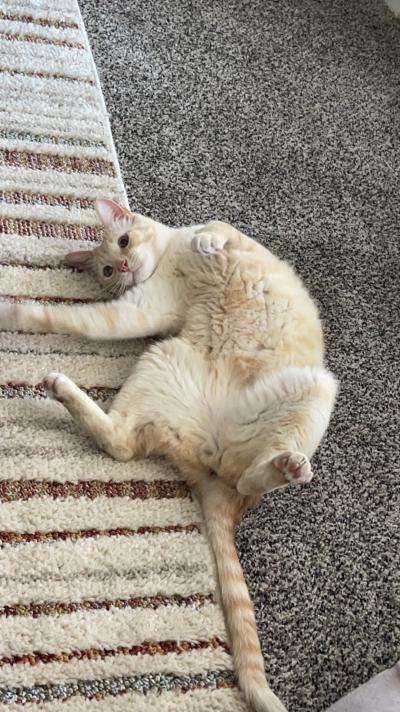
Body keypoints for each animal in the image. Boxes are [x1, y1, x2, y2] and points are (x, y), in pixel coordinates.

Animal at [0, 199, 338, 712]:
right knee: (135, 447)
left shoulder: (213, 247)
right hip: (165, 360)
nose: (122, 267)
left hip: (314, 385)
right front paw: (12, 312)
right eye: (106, 269)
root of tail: (210, 462)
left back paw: (285, 465)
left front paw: (205, 243)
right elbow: (60, 318)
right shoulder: (140, 312)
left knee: (238, 473)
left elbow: (216, 229)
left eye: (122, 243)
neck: (169, 263)